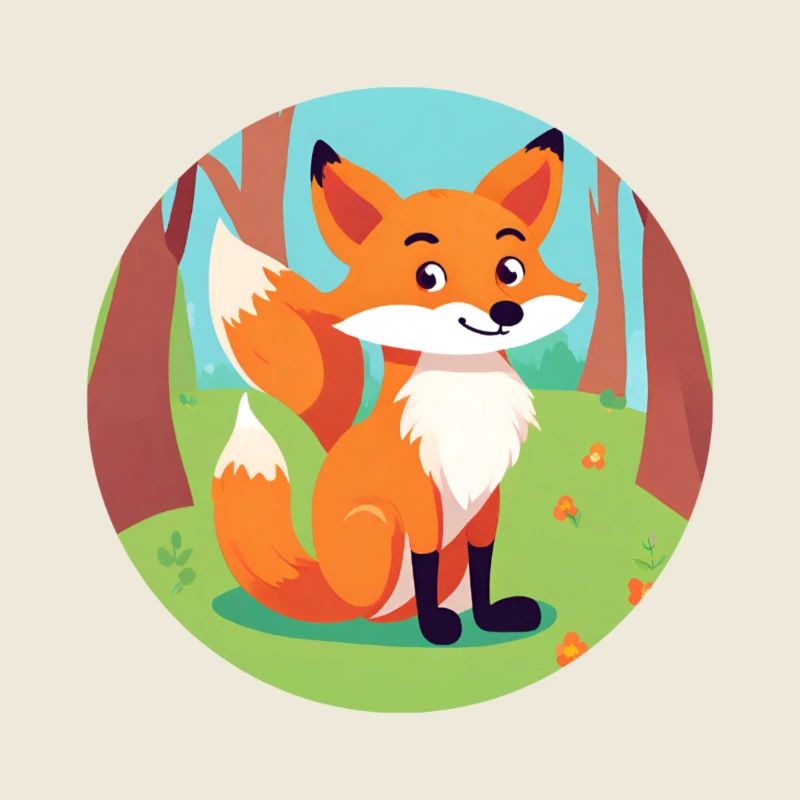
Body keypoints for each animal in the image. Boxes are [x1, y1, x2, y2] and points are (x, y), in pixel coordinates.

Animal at [209, 128, 586, 645]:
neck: (464, 391)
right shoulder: (415, 495)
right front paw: (435, 629)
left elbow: (484, 561)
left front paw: (490, 619)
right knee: (380, 602)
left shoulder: (487, 497)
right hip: (377, 524)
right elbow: (425, 560)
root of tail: (326, 587)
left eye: (510, 270)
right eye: (429, 276)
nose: (506, 313)